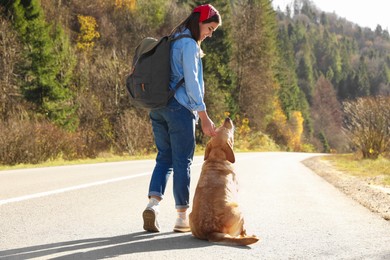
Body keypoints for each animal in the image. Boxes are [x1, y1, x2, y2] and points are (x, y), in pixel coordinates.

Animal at [189, 118, 258, 246]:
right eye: (225, 129)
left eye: (217, 128)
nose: (227, 118)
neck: (216, 157)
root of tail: (211, 232)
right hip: (239, 210)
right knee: (242, 232)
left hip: (189, 215)